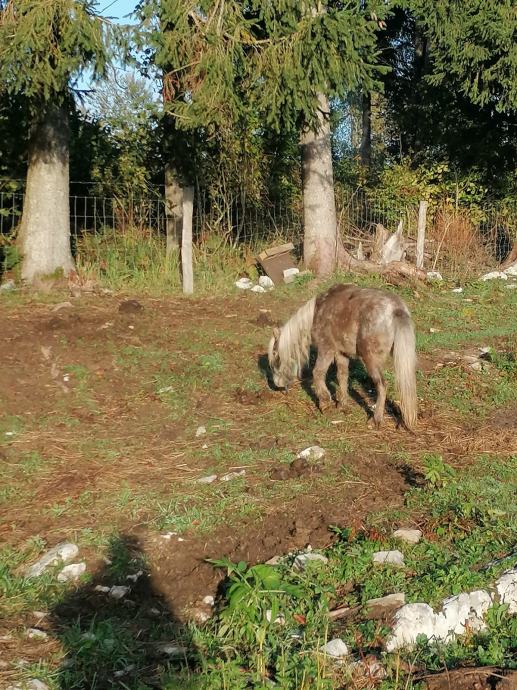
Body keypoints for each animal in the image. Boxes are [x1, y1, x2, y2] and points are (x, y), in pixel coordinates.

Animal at [268, 282, 418, 428]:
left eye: (275, 354)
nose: (277, 385)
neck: (316, 313)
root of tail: (395, 309)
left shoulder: (326, 349)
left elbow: (318, 373)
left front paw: (325, 404)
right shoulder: (341, 353)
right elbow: (342, 376)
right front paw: (342, 405)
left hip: (370, 359)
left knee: (381, 385)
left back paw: (375, 420)